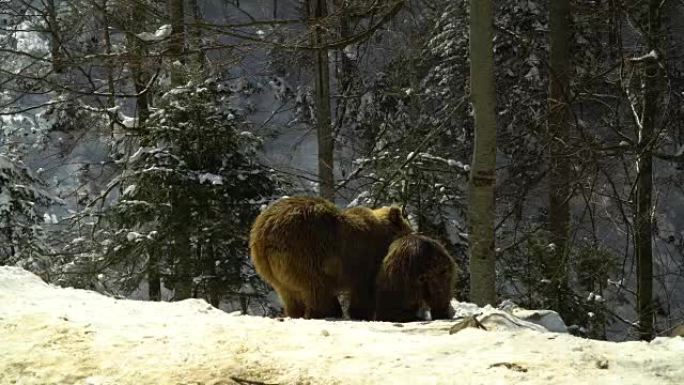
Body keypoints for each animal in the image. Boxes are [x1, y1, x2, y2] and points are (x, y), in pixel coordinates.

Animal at [250, 195, 412, 318]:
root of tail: (265, 230)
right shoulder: (365, 262)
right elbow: (364, 292)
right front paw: (361, 313)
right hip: (309, 251)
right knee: (318, 288)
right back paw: (327, 312)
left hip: (269, 269)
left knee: (290, 294)